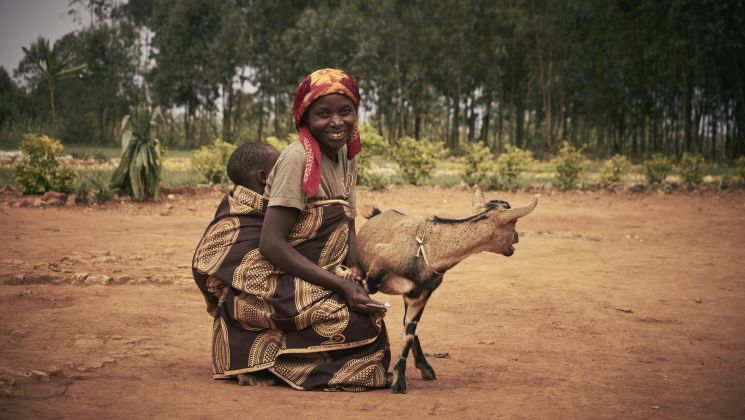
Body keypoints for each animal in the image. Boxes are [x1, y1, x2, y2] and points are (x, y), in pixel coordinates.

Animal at [354, 187, 537, 393]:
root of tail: (376, 213)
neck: (429, 250)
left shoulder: (420, 296)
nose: (517, 238)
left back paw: (425, 368)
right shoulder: (373, 275)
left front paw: (399, 381)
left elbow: (409, 331)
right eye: (514, 222)